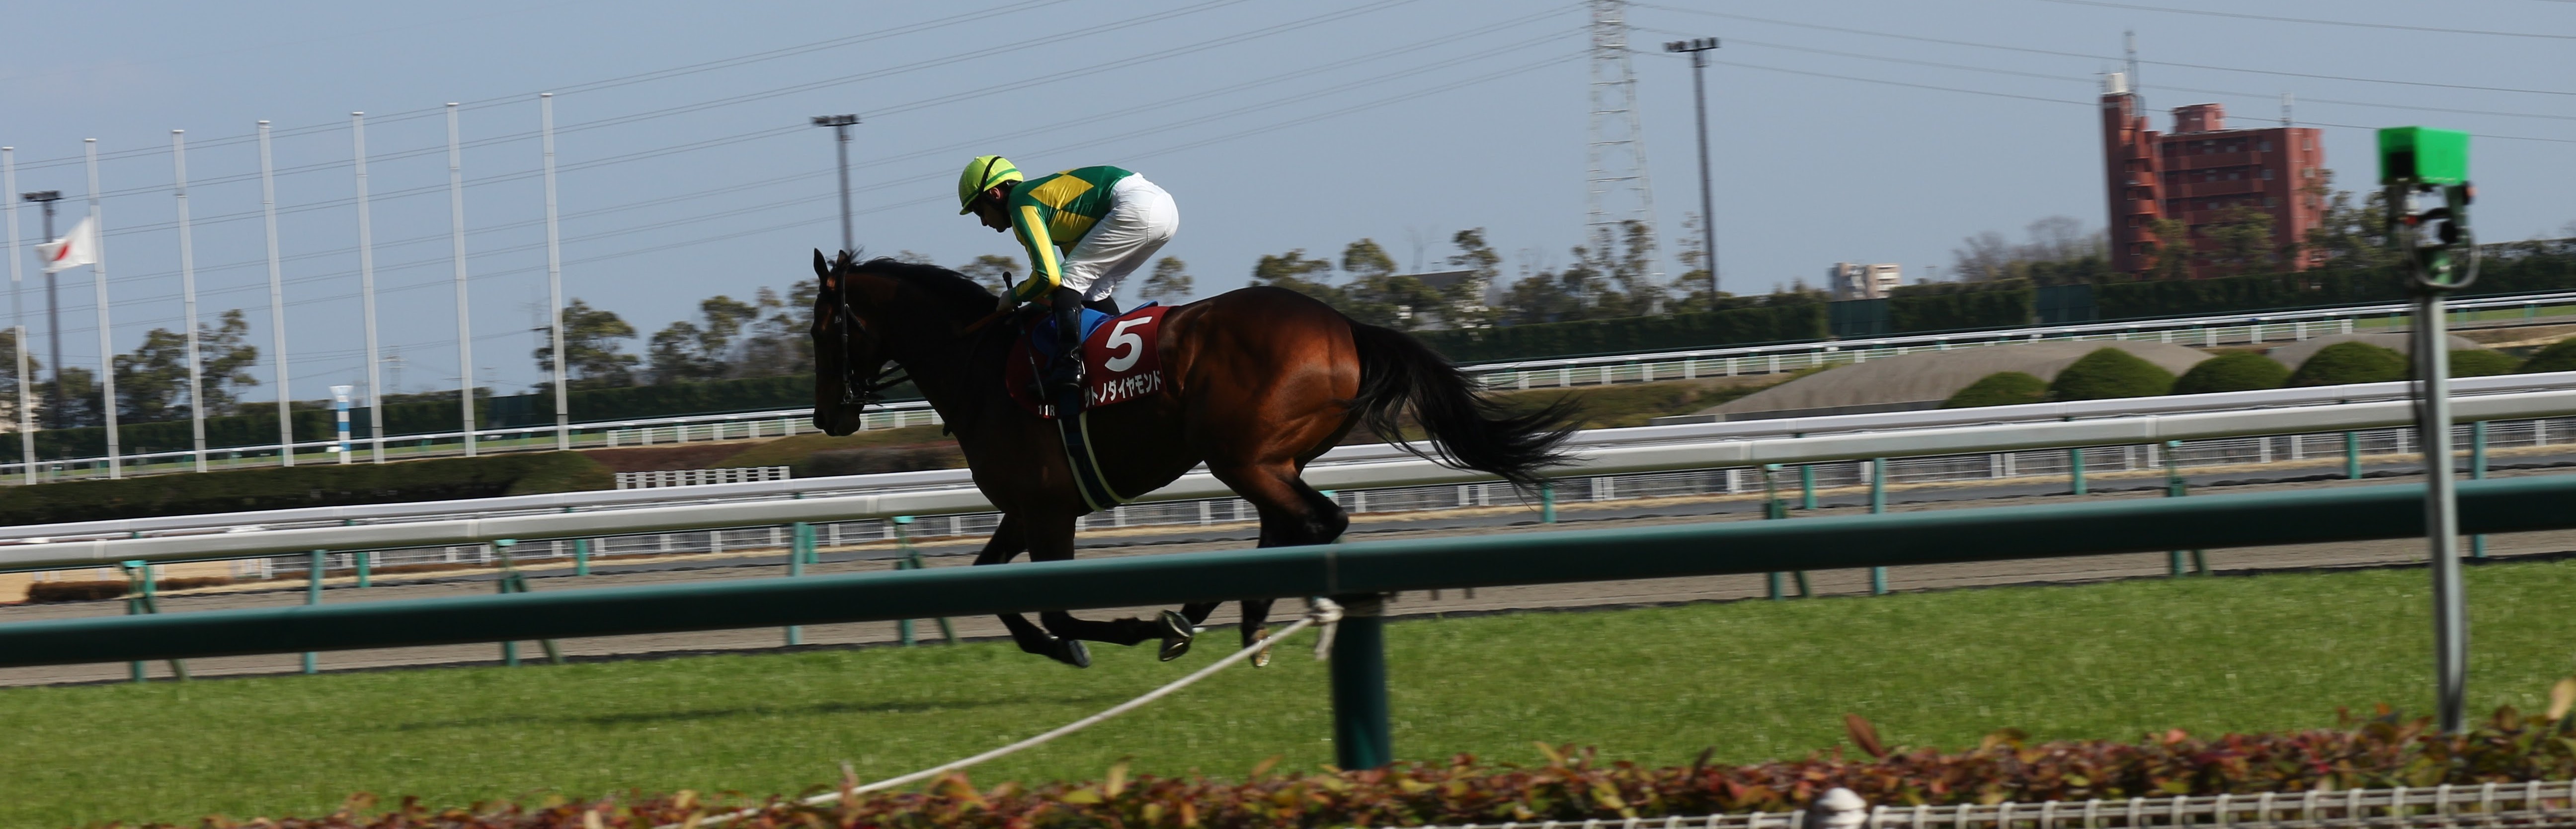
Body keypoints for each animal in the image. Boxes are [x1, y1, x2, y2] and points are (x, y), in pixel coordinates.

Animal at [807, 249, 1575, 667]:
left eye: (821, 330)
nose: (826, 416)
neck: (982, 366)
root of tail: (1344, 327)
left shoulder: (1050, 510)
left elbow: (1056, 607)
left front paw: (1116, 630)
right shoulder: (1025, 510)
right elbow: (990, 587)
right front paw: (1057, 646)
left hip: (1241, 456)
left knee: (1317, 523)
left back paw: (1212, 617)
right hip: (1272, 459)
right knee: (1289, 526)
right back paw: (1229, 619)